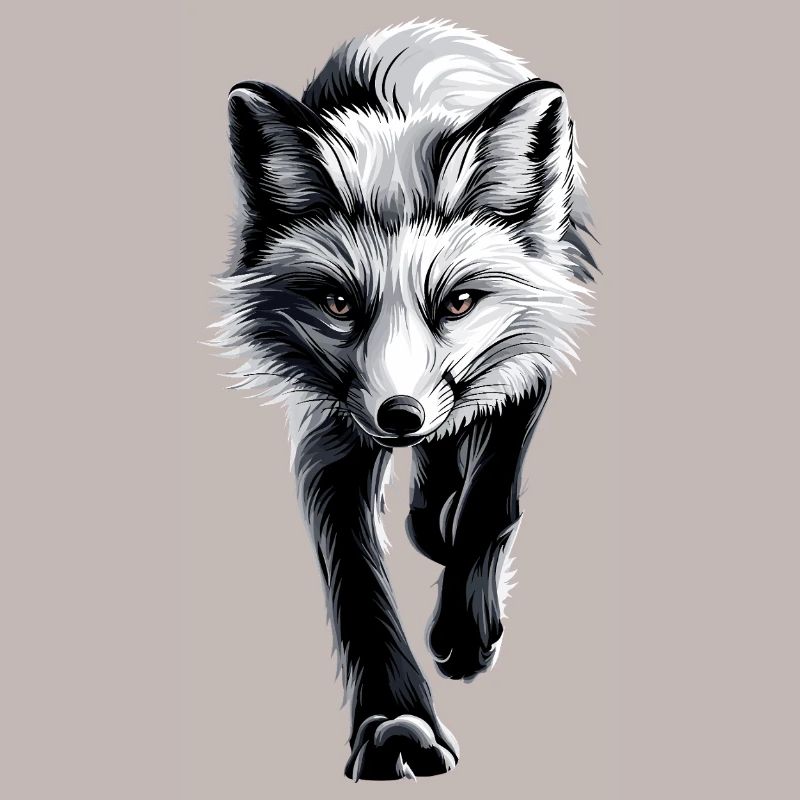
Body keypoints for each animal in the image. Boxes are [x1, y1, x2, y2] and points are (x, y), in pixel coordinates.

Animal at [213, 19, 596, 781]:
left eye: (459, 302)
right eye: (338, 304)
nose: (400, 415)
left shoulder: (530, 354)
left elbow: (490, 506)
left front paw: (467, 629)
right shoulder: (333, 429)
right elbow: (357, 581)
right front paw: (396, 724)